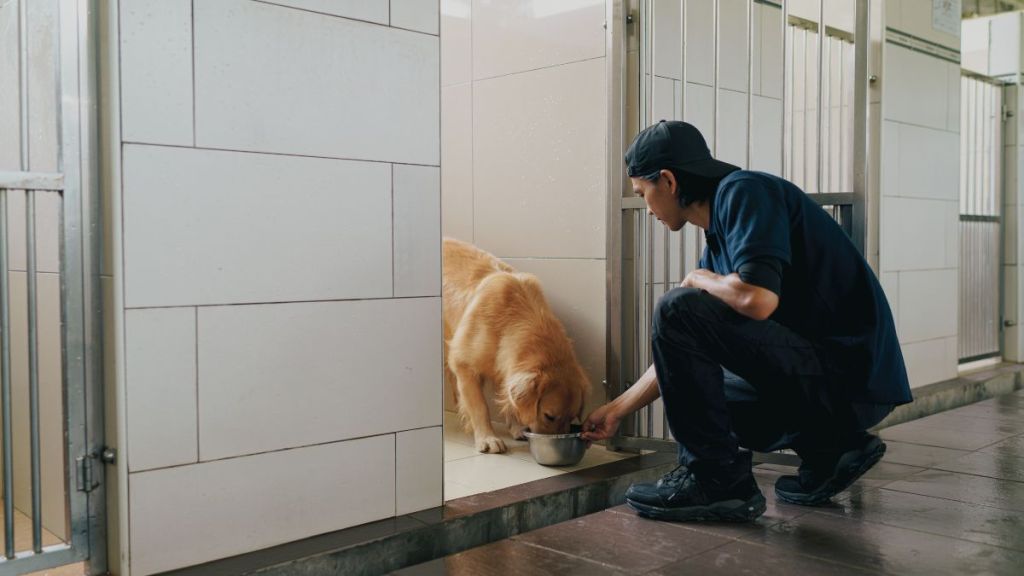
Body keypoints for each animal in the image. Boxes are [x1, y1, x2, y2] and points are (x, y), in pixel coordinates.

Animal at [442, 235, 593, 450]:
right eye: (549, 416)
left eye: (571, 417)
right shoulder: (465, 365)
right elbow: (479, 405)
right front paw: (487, 438)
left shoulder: (504, 366)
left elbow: (508, 399)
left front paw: (516, 428)